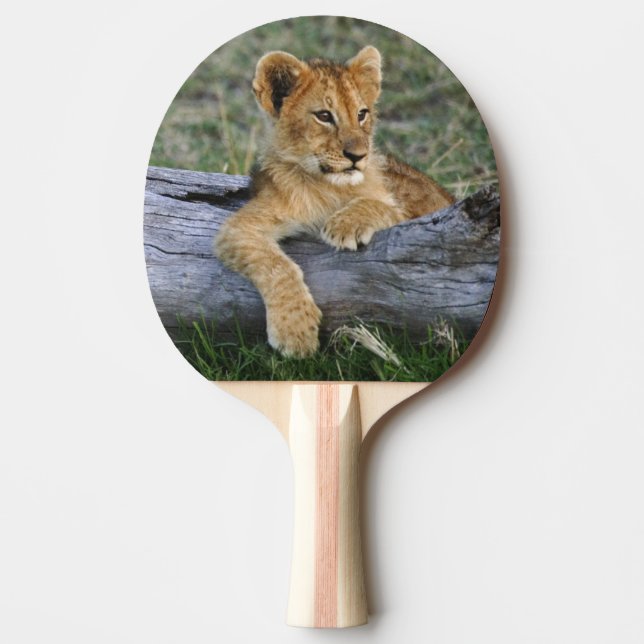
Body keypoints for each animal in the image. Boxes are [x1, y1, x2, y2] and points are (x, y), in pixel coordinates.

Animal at [215, 46, 454, 357]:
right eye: (324, 116)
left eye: (362, 114)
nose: (358, 155)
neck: (330, 188)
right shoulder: (240, 227)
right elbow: (277, 265)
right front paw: (295, 332)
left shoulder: (421, 215)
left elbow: (383, 207)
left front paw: (345, 225)